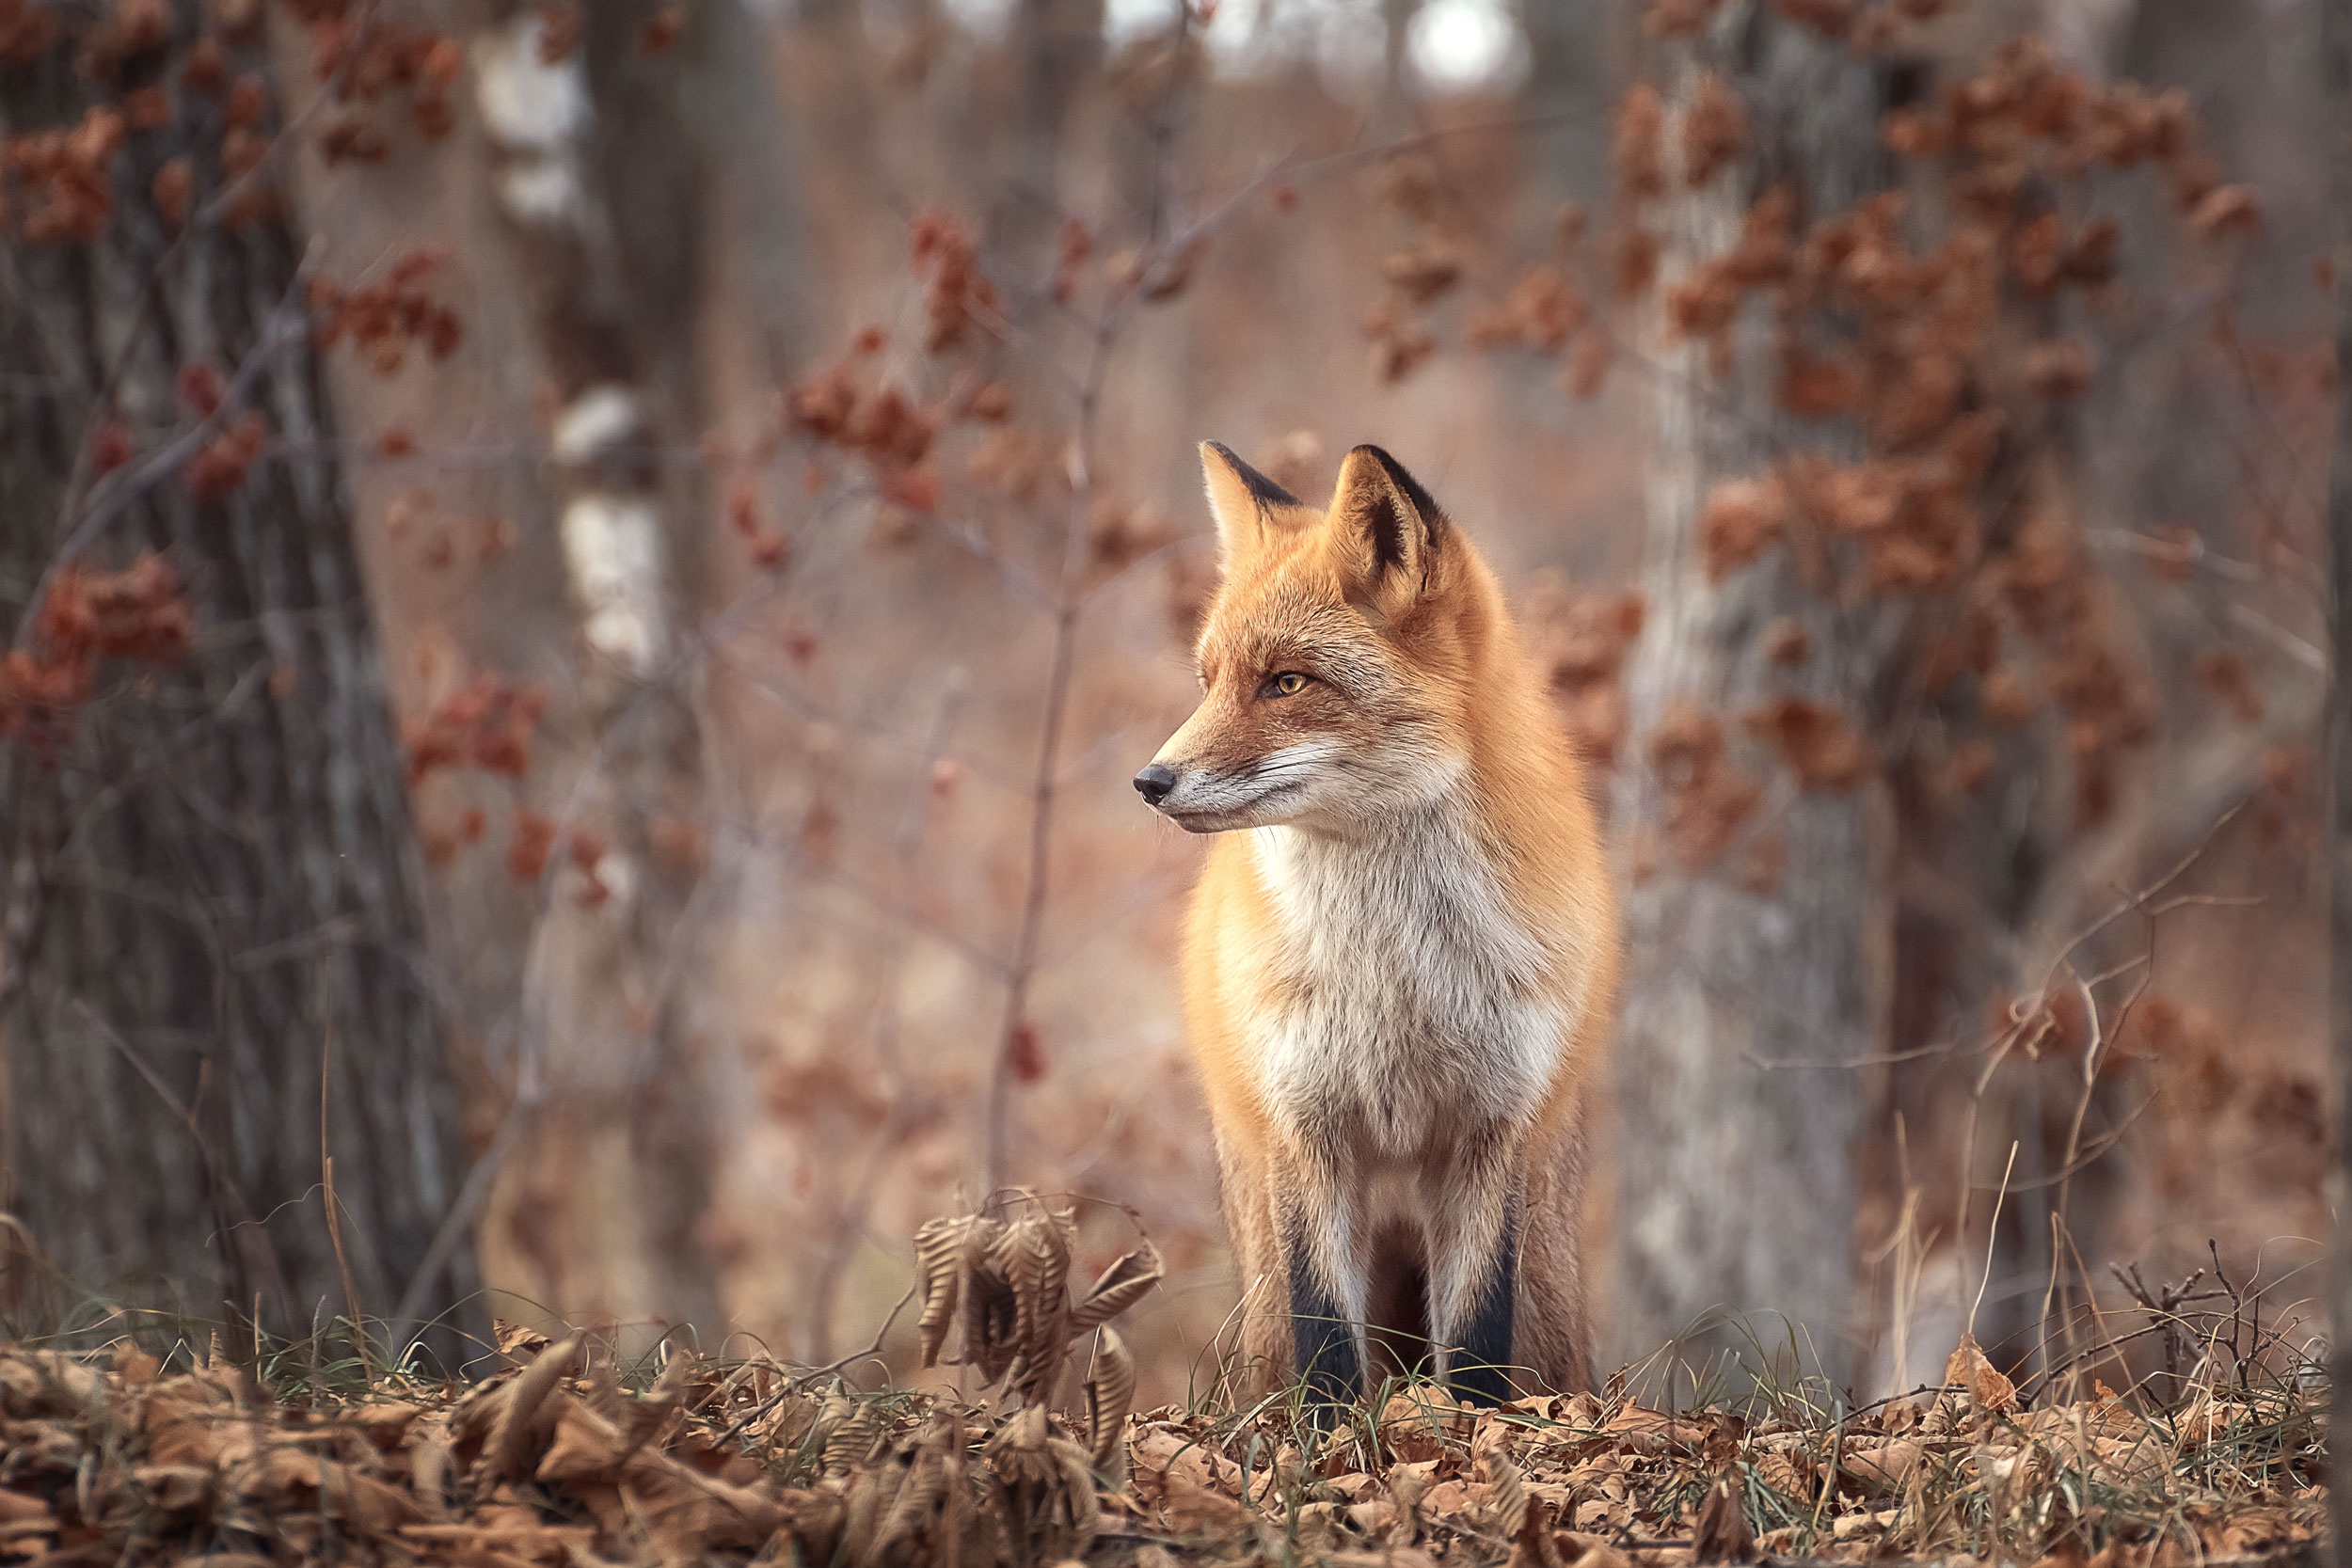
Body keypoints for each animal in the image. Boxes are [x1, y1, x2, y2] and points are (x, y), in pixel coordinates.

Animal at [1134, 441, 1618, 1410]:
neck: (1394, 973)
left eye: (1287, 681)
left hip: (1544, 1272)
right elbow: (1324, 1335)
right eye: (1209, 681)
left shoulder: (1489, 1129)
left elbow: (1475, 1341)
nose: (1150, 781)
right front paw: (1329, 1440)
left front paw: (1468, 1433)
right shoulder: (1307, 1126)